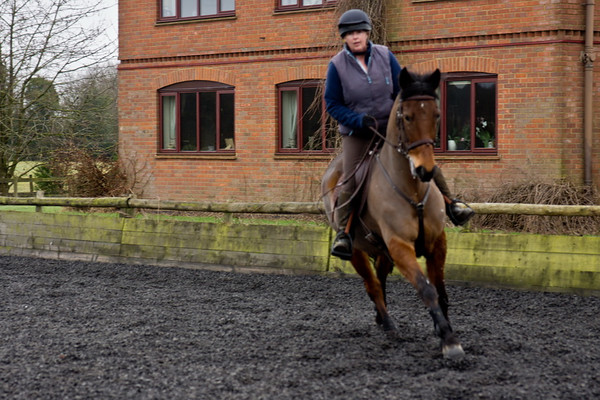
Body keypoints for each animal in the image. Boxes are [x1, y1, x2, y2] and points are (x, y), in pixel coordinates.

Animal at [324, 67, 464, 358]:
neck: (412, 189)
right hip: (357, 250)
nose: (425, 170)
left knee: (380, 278)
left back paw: (381, 319)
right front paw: (448, 340)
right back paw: (387, 323)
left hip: (381, 250)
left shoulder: (437, 243)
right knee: (372, 285)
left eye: (436, 114)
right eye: (407, 117)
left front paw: (443, 330)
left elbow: (442, 291)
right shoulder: (400, 246)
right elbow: (427, 289)